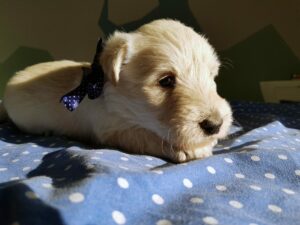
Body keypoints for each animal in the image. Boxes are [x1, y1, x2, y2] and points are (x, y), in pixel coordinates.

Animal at [0, 19, 232, 163]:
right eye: (166, 81)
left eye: (212, 77)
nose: (215, 125)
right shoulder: (111, 130)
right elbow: (144, 136)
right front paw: (191, 147)